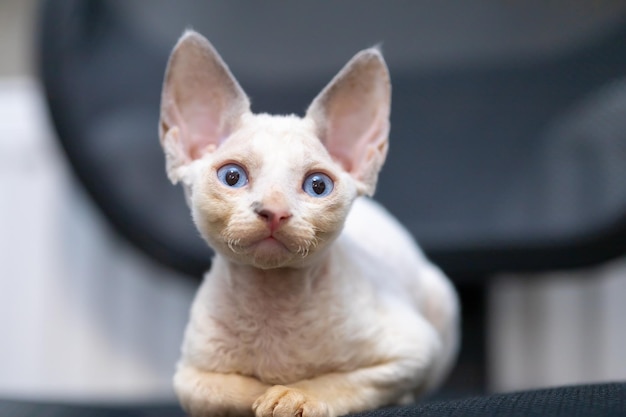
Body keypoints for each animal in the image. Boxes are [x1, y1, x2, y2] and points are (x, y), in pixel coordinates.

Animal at [157, 30, 458, 416]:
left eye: (318, 186)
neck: (272, 302)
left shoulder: (413, 350)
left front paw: (294, 395)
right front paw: (265, 392)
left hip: (441, 296)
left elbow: (344, 382)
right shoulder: (188, 374)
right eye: (232, 176)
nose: (274, 211)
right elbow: (216, 390)